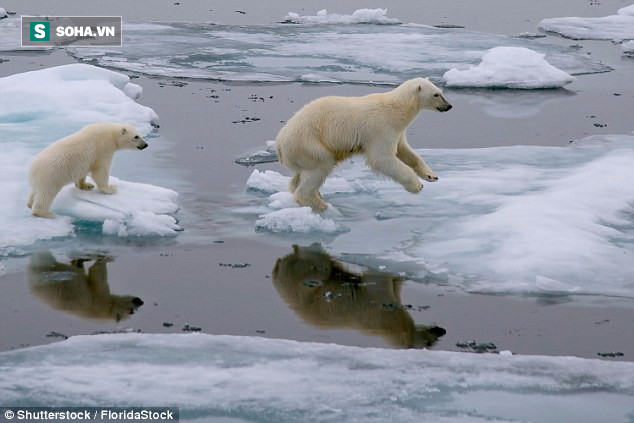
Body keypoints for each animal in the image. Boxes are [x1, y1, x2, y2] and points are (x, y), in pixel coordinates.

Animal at [276, 77, 450, 211]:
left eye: (441, 92)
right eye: (436, 94)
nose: (449, 106)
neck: (396, 109)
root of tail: (279, 143)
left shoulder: (397, 132)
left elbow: (405, 151)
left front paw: (431, 175)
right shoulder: (381, 128)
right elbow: (381, 158)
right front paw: (417, 186)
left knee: (300, 175)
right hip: (309, 143)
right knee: (321, 166)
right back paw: (320, 204)